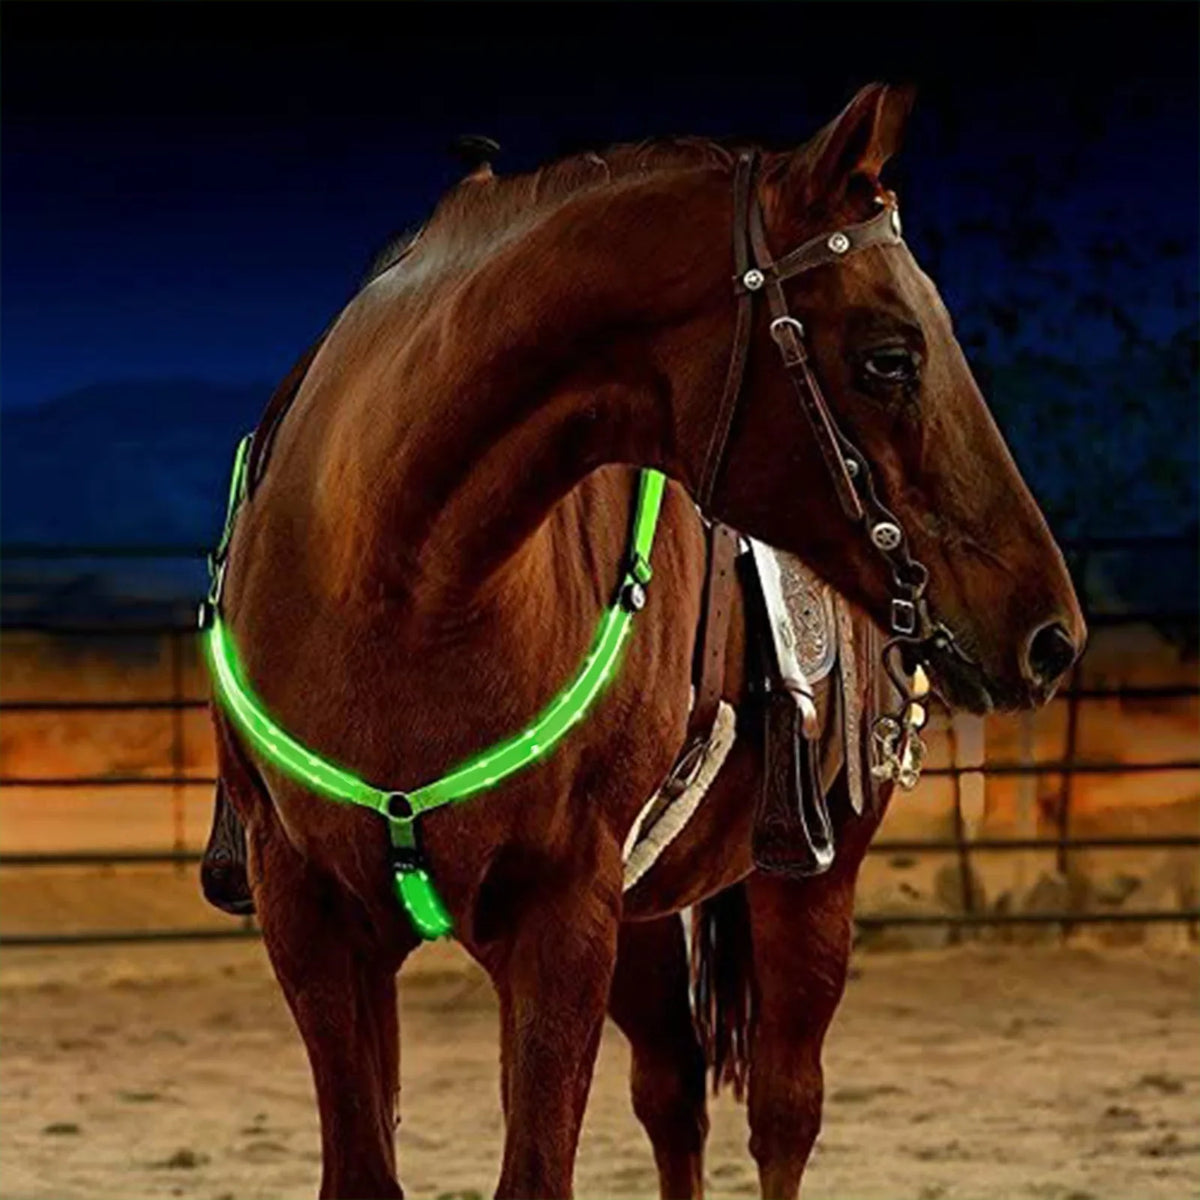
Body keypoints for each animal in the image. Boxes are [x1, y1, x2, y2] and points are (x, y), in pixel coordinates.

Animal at [206, 82, 1085, 1198]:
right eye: (890, 356)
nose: (1051, 635)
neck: (397, 588)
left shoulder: (562, 919)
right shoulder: (313, 918)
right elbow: (368, 1167)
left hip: (808, 883)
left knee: (784, 1111)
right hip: (644, 920)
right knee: (673, 1094)